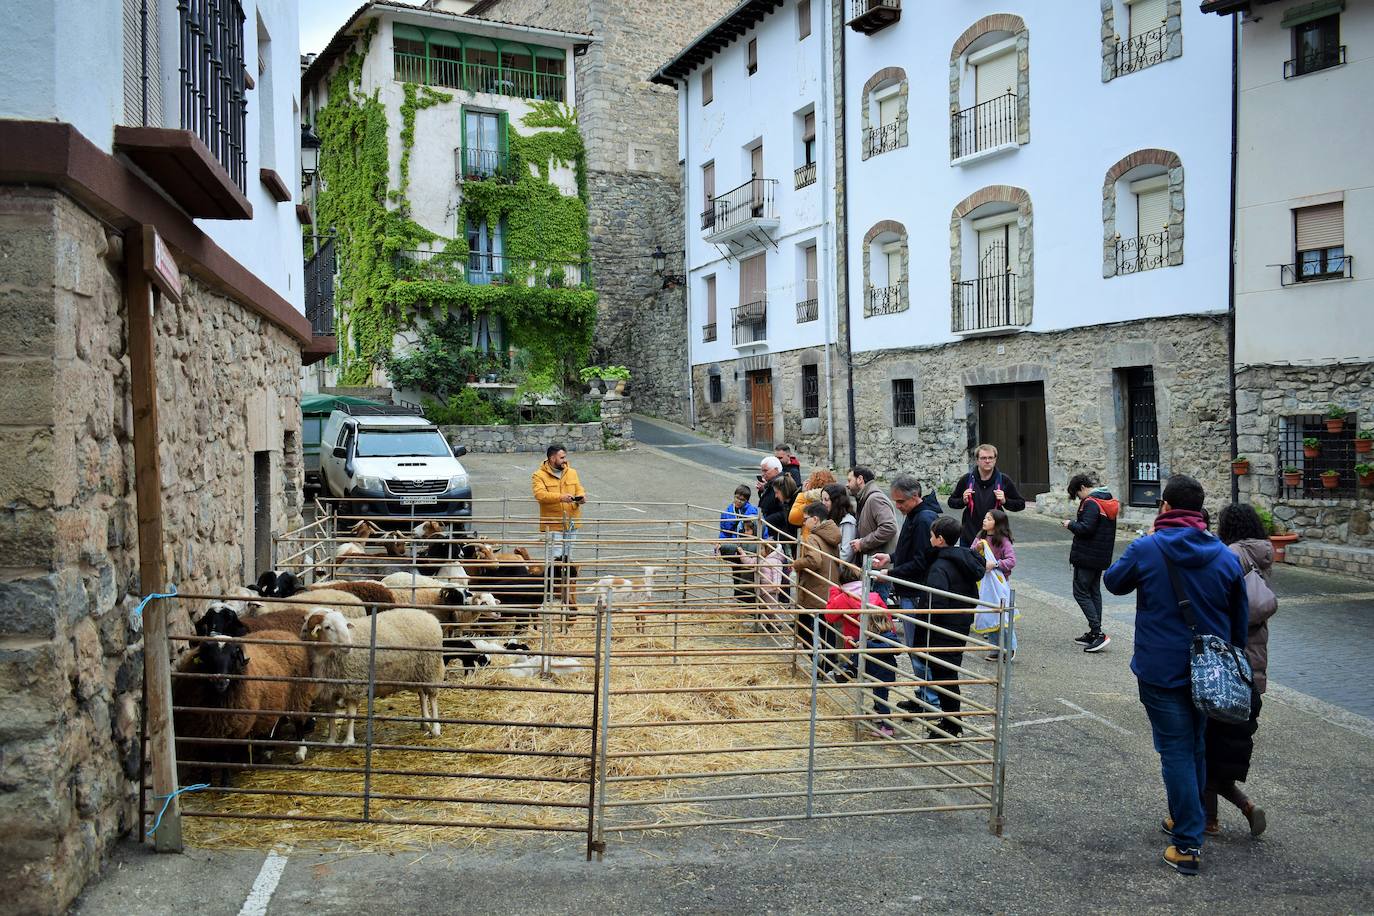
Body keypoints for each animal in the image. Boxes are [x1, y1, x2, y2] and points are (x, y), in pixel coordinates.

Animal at [300, 609, 445, 747]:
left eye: (346, 625)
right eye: (327, 627)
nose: (349, 645)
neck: (327, 656)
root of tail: (430, 617)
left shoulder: (354, 686)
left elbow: (350, 715)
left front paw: (348, 740)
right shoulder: (329, 689)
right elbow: (330, 717)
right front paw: (331, 739)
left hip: (430, 667)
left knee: (432, 697)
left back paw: (435, 728)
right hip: (418, 672)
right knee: (421, 695)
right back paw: (425, 722)